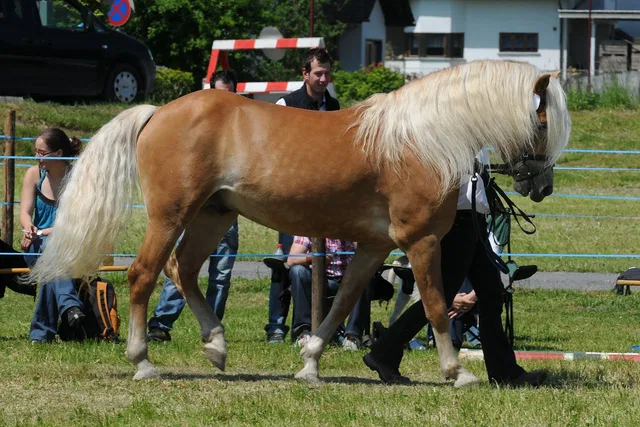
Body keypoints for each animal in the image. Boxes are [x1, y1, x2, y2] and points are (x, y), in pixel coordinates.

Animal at [31, 60, 571, 386]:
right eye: (542, 120)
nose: (541, 185)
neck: (424, 139)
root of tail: (157, 112)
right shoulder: (420, 243)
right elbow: (436, 306)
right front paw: (457, 372)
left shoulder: (373, 247)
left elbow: (342, 305)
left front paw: (310, 365)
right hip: (171, 216)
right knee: (144, 275)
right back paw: (144, 362)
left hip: (212, 217)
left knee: (181, 271)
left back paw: (217, 347)